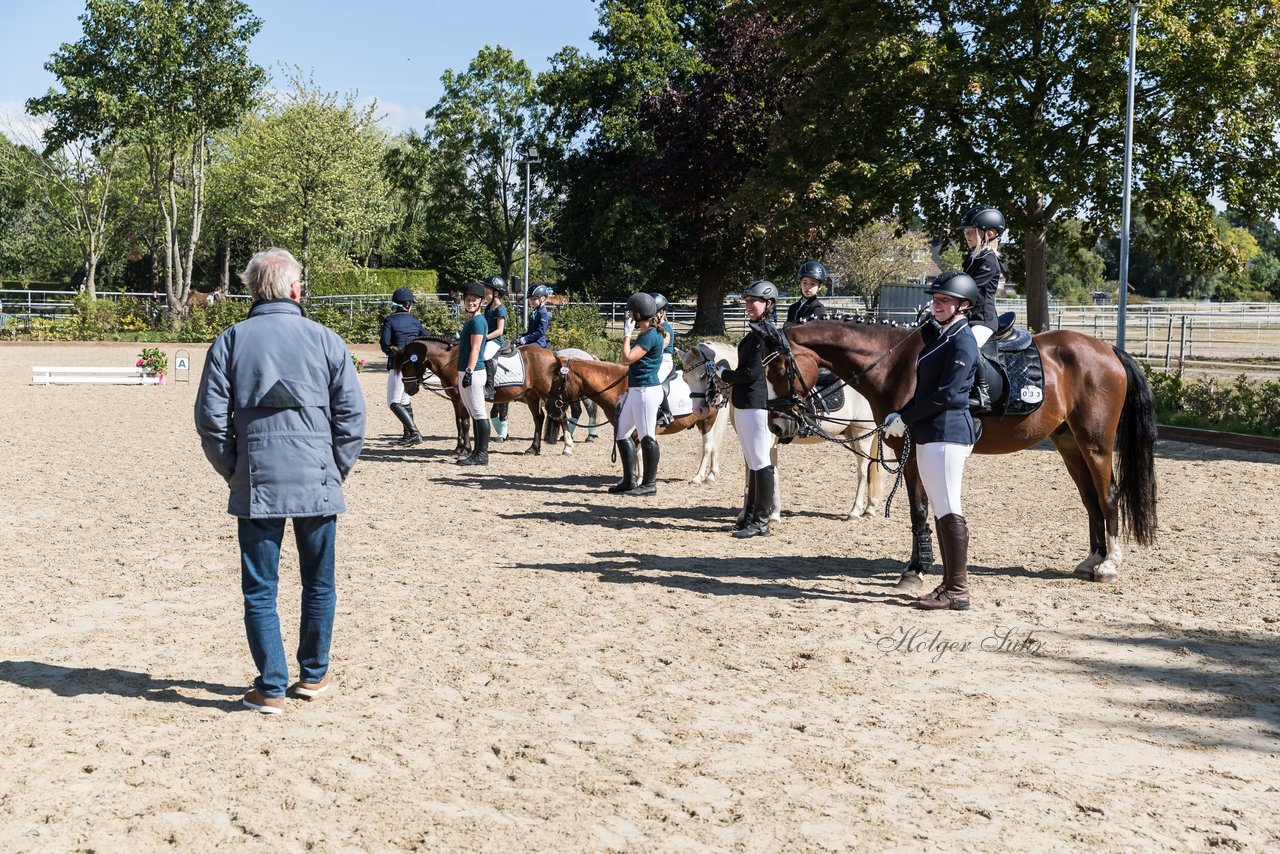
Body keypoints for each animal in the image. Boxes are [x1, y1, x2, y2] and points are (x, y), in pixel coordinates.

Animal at [396, 332, 563, 458]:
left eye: (408, 365)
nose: (409, 390)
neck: (452, 361)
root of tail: (552, 354)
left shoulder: (462, 399)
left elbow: (465, 423)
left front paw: (465, 450)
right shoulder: (455, 400)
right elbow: (458, 422)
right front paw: (458, 448)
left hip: (546, 395)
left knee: (559, 415)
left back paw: (564, 447)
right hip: (532, 396)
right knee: (539, 418)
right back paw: (533, 449)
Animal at [547, 350, 732, 483]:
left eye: (556, 382)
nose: (550, 408)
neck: (620, 387)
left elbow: (639, 452)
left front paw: (640, 478)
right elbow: (635, 452)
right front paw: (633, 477)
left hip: (707, 421)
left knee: (707, 447)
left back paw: (698, 477)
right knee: (714, 446)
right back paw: (711, 475)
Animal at [686, 343, 885, 524]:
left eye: (702, 375)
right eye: (686, 379)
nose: (699, 411)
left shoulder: (768, 441)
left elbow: (771, 473)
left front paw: (772, 515)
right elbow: (751, 472)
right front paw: (745, 514)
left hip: (863, 434)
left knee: (862, 472)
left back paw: (855, 512)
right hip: (853, 435)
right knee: (870, 468)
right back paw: (869, 509)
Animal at [762, 318, 1167, 588]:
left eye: (781, 369)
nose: (778, 426)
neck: (897, 365)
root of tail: (1107, 348)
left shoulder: (913, 451)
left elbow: (920, 510)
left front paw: (916, 570)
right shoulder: (911, 451)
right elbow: (921, 511)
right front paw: (919, 565)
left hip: (1095, 444)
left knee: (1108, 495)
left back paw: (1109, 565)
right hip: (1069, 443)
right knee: (1090, 499)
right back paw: (1091, 560)